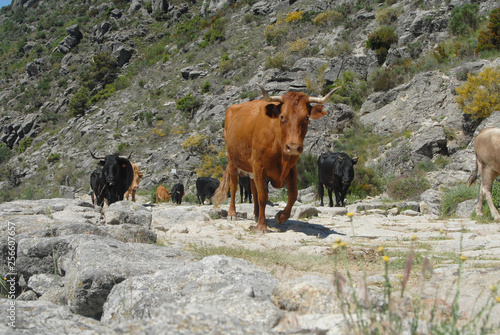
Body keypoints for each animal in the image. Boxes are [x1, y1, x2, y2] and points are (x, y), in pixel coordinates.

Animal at [213, 83, 342, 234]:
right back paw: (232, 214)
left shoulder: (291, 168)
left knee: (253, 189)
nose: (293, 147)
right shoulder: (258, 166)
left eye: (306, 118)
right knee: (233, 186)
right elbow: (263, 196)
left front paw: (280, 217)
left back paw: (257, 214)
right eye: (282, 117)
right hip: (232, 161)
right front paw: (262, 226)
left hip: (250, 169)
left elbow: (293, 194)